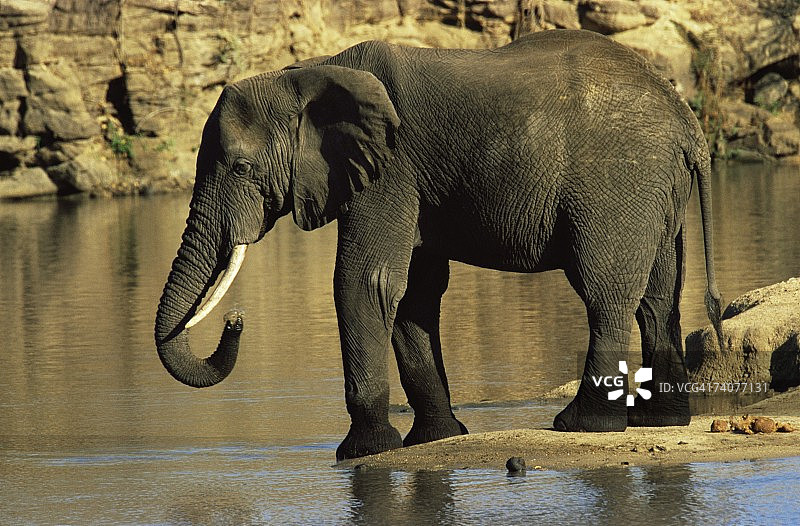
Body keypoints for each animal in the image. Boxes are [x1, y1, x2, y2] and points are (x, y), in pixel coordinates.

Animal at [155, 29, 724, 461]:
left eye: (240, 168)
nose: (236, 319)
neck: (305, 73)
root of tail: (688, 121)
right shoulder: (409, 183)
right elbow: (412, 293)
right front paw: (437, 438)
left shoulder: (391, 170)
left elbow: (364, 281)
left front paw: (363, 451)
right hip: (655, 189)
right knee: (658, 296)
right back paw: (661, 421)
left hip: (617, 184)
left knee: (605, 293)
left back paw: (582, 425)